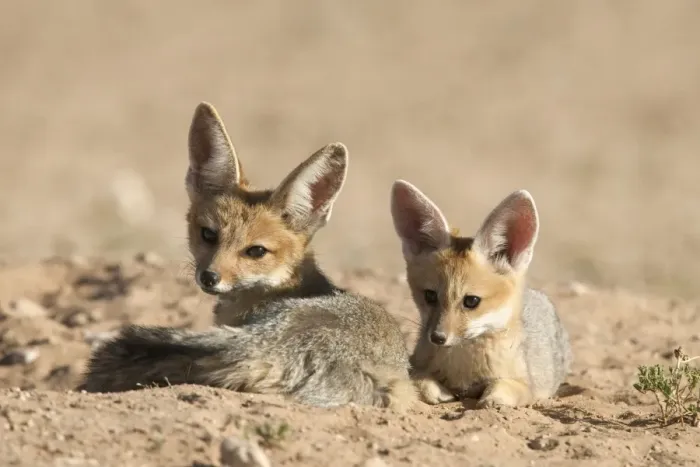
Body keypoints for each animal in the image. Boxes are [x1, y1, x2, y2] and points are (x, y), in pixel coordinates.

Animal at [389, 180, 572, 408]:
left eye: (471, 301)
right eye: (430, 296)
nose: (437, 337)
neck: (463, 370)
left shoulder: (525, 386)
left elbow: (503, 387)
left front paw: (493, 398)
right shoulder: (413, 363)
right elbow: (417, 377)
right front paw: (437, 390)